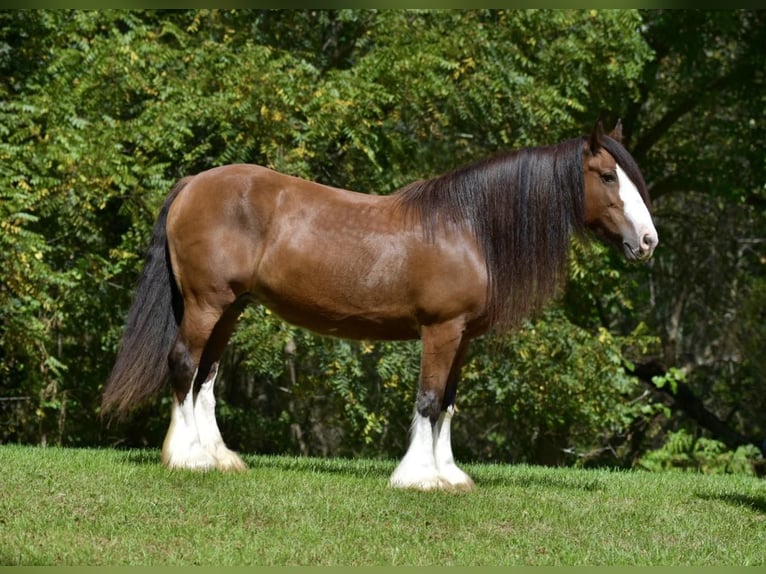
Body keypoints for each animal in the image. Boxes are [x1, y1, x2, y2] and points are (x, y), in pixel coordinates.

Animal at [100, 120, 660, 490]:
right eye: (607, 176)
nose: (648, 241)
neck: (468, 228)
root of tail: (193, 184)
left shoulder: (462, 338)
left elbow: (448, 404)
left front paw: (450, 474)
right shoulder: (440, 330)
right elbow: (429, 400)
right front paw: (419, 478)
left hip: (230, 308)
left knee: (206, 377)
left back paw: (219, 458)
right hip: (205, 303)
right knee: (184, 363)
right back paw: (186, 458)